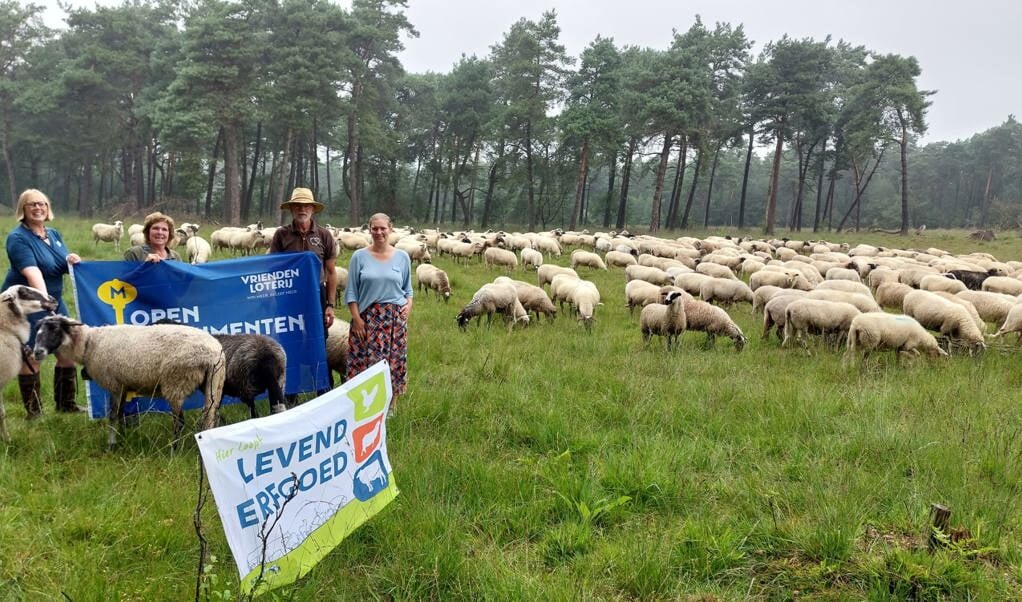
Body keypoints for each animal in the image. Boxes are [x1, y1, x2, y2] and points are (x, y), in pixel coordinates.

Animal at [31, 314, 225, 445]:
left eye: (54, 329)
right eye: (37, 331)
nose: (37, 352)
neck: (89, 343)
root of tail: (213, 352)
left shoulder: (114, 385)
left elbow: (112, 415)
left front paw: (111, 444)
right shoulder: (122, 386)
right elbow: (121, 414)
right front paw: (123, 438)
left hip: (176, 382)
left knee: (179, 422)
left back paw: (174, 448)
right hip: (213, 383)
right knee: (209, 415)